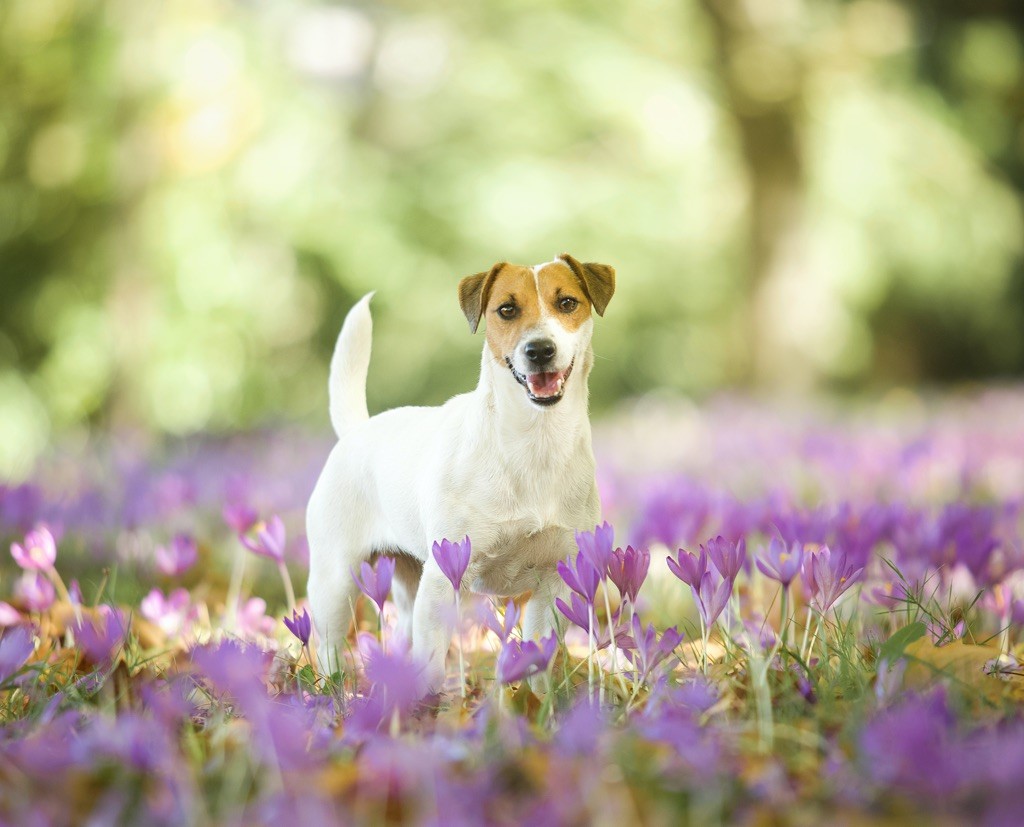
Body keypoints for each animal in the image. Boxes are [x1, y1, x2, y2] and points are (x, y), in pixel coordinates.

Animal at [305, 253, 614, 691]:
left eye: (568, 302)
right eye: (507, 309)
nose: (539, 350)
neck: (532, 443)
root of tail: (357, 430)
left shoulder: (555, 583)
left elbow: (540, 659)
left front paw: (541, 703)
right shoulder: (442, 580)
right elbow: (432, 663)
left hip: (408, 579)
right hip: (336, 580)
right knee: (329, 644)